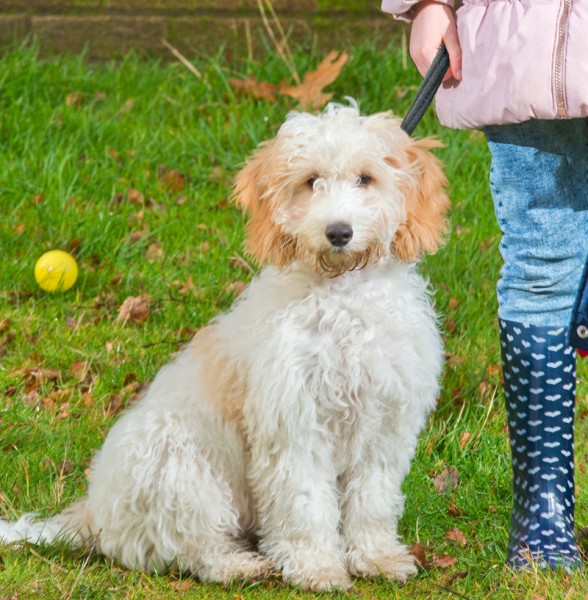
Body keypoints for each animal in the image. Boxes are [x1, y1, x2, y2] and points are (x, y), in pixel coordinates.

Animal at [0, 102, 448, 592]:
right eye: (311, 181)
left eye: (367, 178)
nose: (338, 231)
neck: (343, 298)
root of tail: (93, 513)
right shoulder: (294, 426)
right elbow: (306, 502)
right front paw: (317, 567)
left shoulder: (385, 426)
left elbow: (372, 500)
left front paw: (377, 558)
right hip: (176, 461)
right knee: (194, 548)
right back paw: (239, 566)